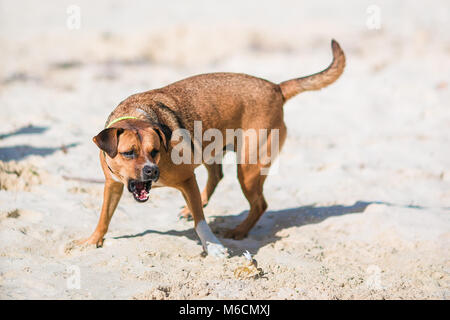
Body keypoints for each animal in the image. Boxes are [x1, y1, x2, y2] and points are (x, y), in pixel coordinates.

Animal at [80, 39, 344, 258]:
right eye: (128, 153)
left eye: (155, 151)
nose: (151, 171)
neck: (138, 114)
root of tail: (276, 88)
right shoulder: (112, 185)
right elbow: (104, 215)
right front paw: (93, 240)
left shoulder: (187, 179)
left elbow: (201, 222)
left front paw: (213, 246)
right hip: (211, 149)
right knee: (217, 177)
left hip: (248, 168)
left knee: (259, 204)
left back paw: (239, 231)